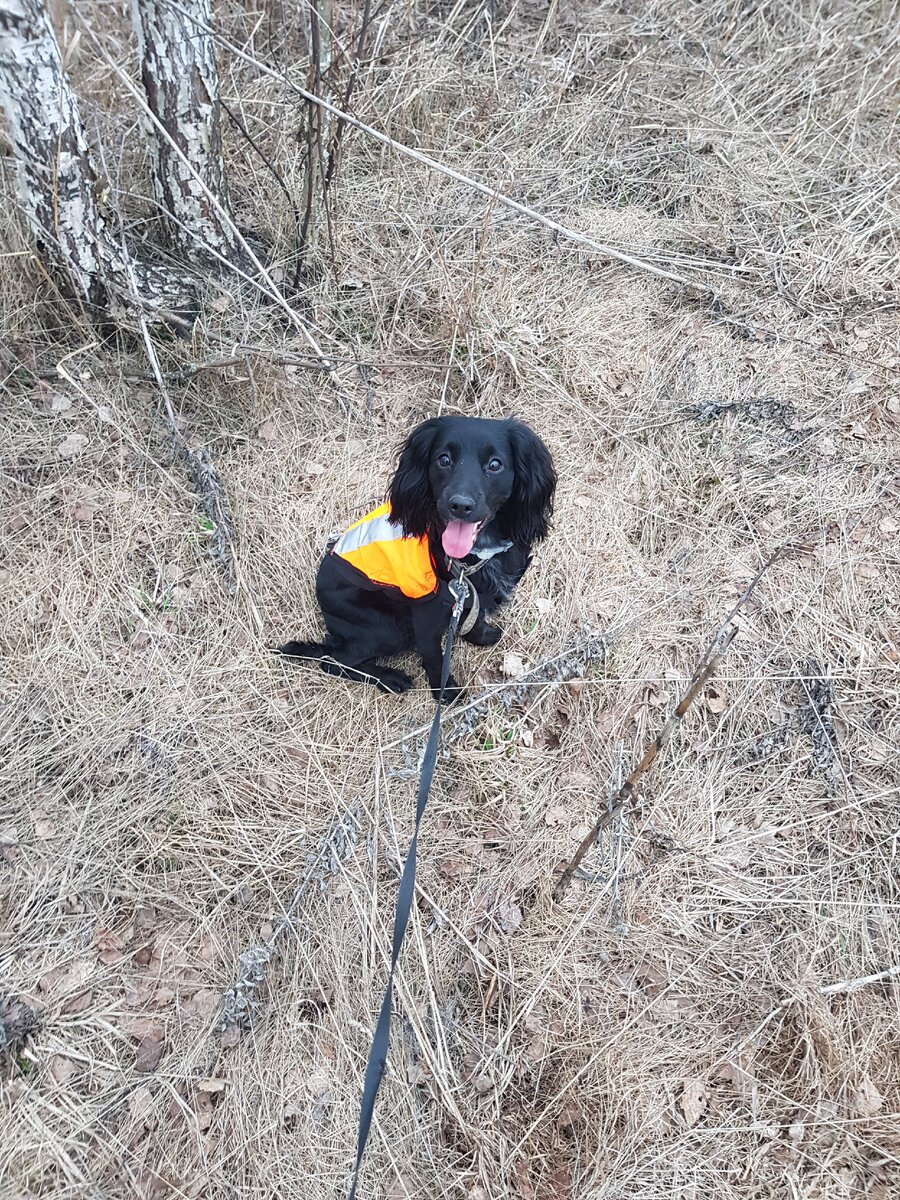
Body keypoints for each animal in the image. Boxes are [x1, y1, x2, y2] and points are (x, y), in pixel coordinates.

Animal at [278, 417, 556, 700]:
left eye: (495, 464)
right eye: (443, 459)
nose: (460, 505)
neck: (473, 556)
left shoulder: (469, 594)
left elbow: (474, 616)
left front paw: (482, 636)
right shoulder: (425, 618)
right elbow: (434, 658)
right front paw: (446, 694)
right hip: (389, 628)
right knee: (333, 660)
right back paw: (389, 678)